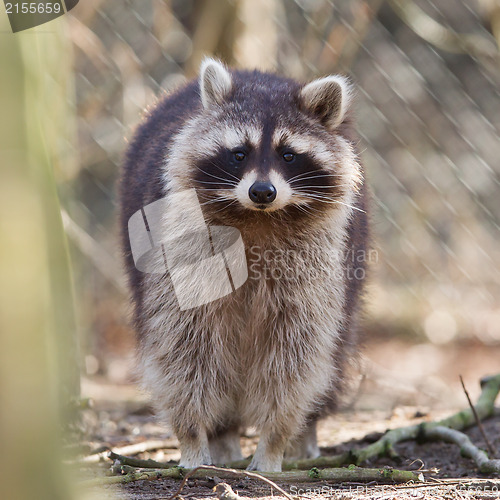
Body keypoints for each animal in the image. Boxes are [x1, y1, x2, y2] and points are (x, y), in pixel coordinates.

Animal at [119, 58, 370, 472]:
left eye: (288, 154)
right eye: (239, 153)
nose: (262, 192)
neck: (257, 217)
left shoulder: (315, 259)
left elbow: (295, 350)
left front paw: (274, 441)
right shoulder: (181, 246)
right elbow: (184, 346)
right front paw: (192, 437)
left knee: (331, 351)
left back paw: (305, 434)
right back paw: (224, 437)